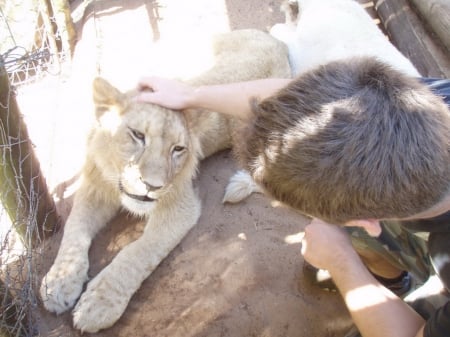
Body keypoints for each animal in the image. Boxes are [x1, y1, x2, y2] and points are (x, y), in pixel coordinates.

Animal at [39, 28, 292, 330]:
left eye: (178, 149)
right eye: (137, 135)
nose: (152, 187)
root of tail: (274, 38)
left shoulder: (179, 204)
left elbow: (138, 250)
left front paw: (98, 303)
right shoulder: (94, 187)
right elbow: (74, 228)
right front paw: (59, 282)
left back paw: (239, 186)